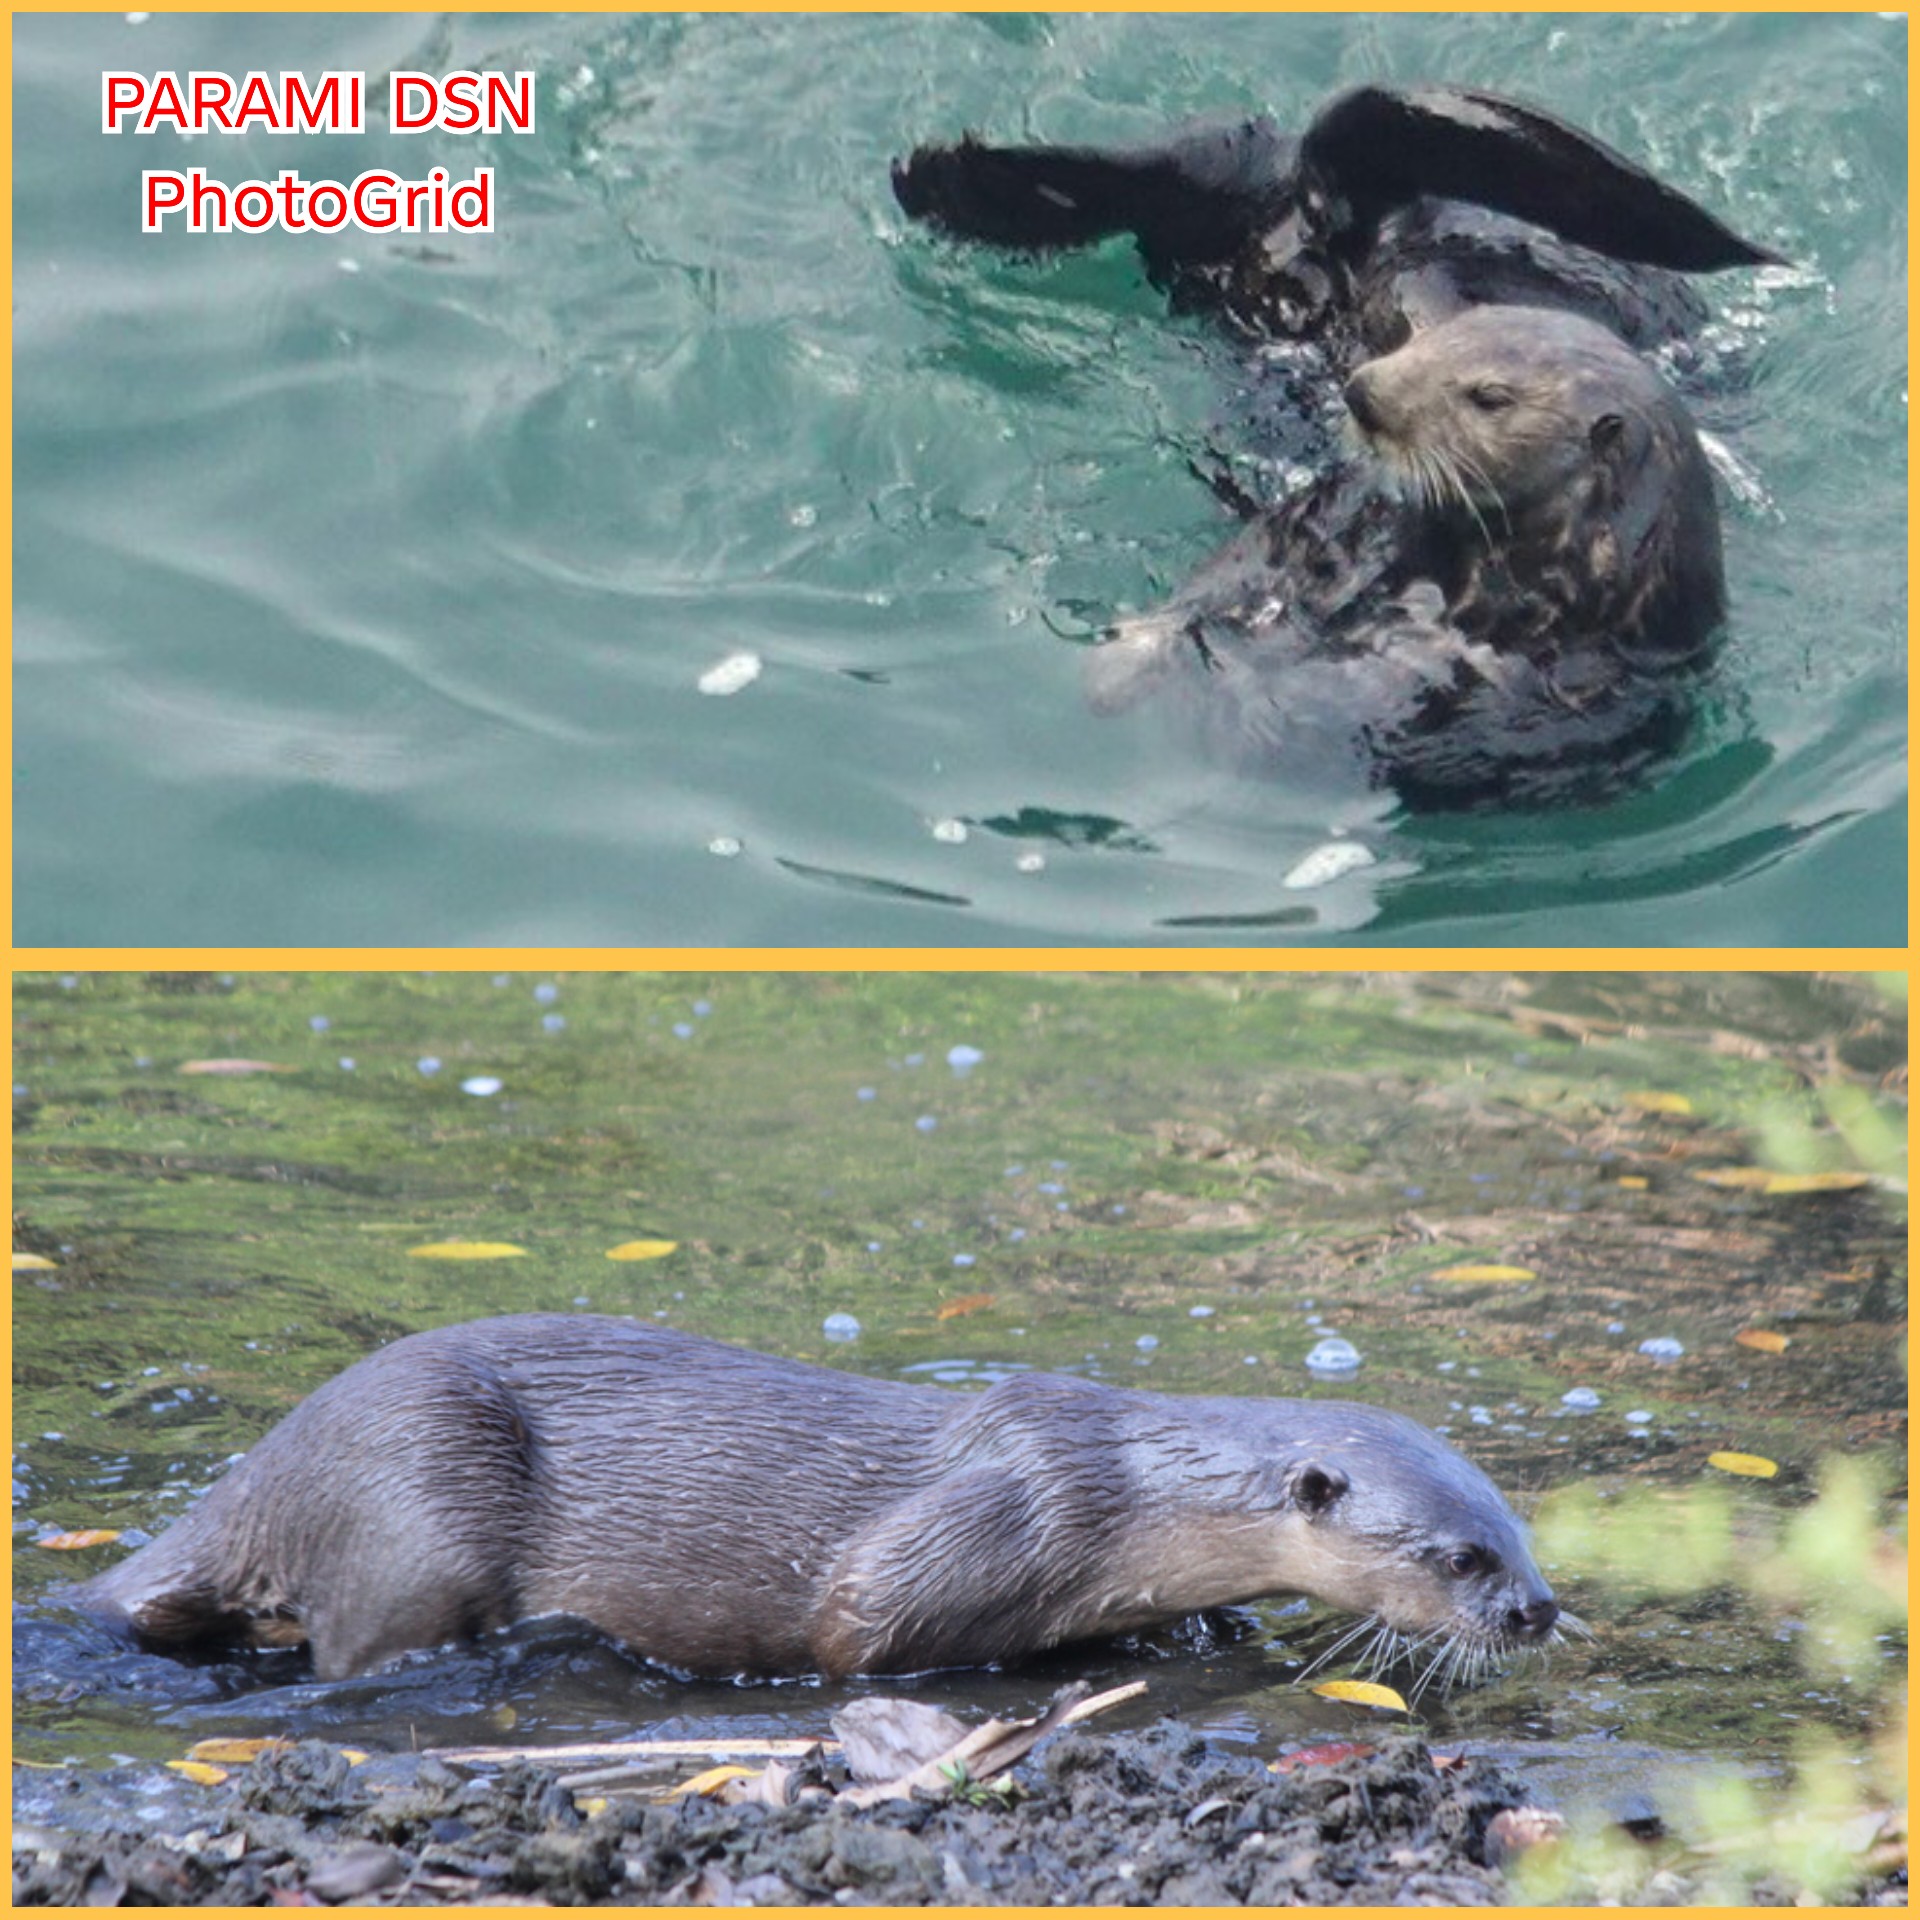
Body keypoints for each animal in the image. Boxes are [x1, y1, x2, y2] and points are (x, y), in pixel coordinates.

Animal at [70, 1315, 1561, 1689]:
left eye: (1523, 1538)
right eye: (1460, 1557)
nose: (1541, 1613)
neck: (1130, 1490)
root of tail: (266, 1474)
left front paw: (1206, 1631)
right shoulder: (994, 1520)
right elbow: (852, 1626)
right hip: (416, 1500)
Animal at [891, 84, 1780, 805]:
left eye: (1490, 396)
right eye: (1442, 348)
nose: (1365, 391)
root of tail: (1349, 217)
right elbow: (1258, 562)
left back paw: (975, 183)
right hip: (1280, 192)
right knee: (1236, 152)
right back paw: (958, 177)